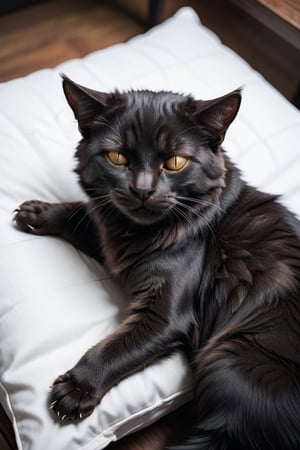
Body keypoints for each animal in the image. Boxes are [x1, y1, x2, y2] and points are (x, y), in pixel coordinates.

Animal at [15, 75, 300, 448]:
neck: (138, 232)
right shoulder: (112, 238)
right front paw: (38, 212)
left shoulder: (164, 316)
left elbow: (115, 349)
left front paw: (75, 390)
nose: (142, 190)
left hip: (231, 360)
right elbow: (82, 216)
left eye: (176, 162)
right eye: (117, 157)